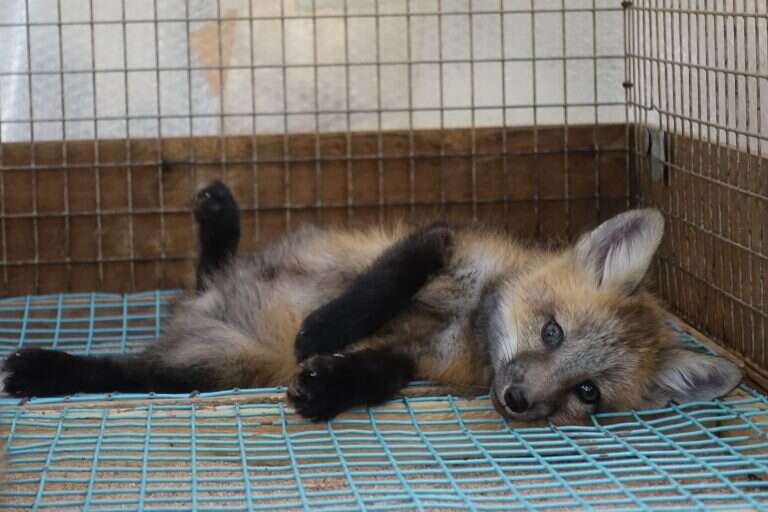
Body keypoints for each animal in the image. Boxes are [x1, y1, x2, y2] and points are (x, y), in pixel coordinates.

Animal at [0, 181, 742, 424]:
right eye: (552, 331)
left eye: (587, 393)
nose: (518, 401)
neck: (467, 323)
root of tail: (205, 307)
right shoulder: (445, 243)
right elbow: (392, 273)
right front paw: (323, 326)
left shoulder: (417, 359)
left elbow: (382, 375)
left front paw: (326, 386)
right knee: (207, 272)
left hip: (210, 367)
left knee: (132, 369)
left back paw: (54, 368)